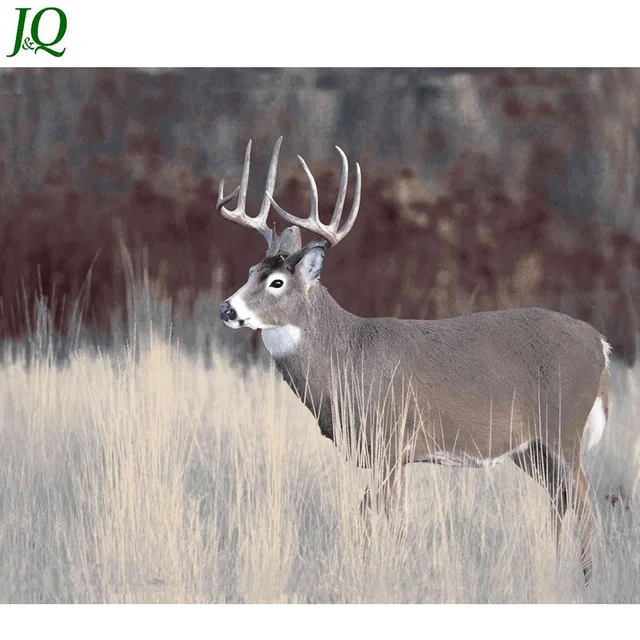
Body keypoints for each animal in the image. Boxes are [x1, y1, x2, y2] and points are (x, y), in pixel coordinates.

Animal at [216, 136, 612, 587]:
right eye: (251, 270)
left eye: (277, 282)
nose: (226, 309)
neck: (346, 357)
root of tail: (601, 344)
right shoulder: (384, 453)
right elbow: (375, 511)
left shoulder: (393, 438)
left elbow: (388, 513)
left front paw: (391, 571)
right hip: (530, 448)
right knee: (559, 497)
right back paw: (554, 566)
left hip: (563, 428)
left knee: (583, 495)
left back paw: (588, 579)